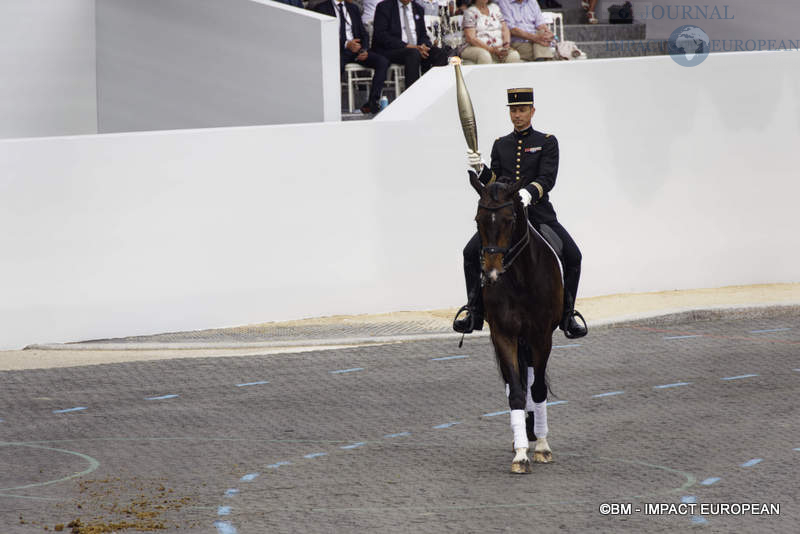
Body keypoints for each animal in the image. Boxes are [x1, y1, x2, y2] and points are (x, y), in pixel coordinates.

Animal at [468, 174, 564, 476]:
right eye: (478, 219)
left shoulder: (542, 336)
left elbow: (538, 389)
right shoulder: (503, 334)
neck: (521, 277)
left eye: (510, 220)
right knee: (518, 382)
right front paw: (521, 453)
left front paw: (542, 446)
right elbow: (517, 393)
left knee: (533, 378)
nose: (491, 273)